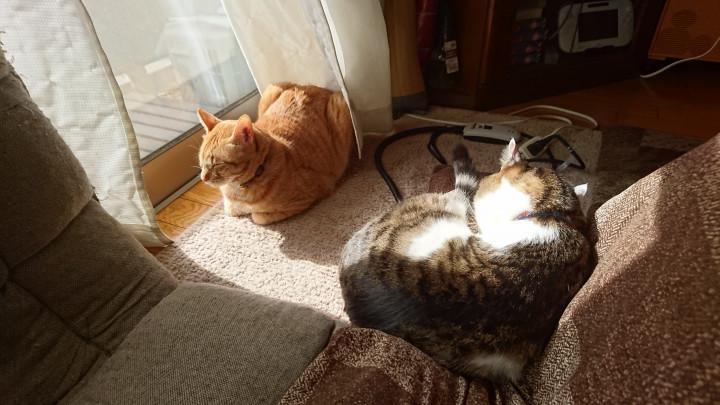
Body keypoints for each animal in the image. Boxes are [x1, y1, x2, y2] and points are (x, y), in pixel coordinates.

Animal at [197, 83, 353, 224]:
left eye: (217, 164)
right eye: (201, 163)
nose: (203, 178)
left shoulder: (312, 194)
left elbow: (258, 217)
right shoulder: (230, 207)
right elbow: (231, 209)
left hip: (340, 105)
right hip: (270, 90)